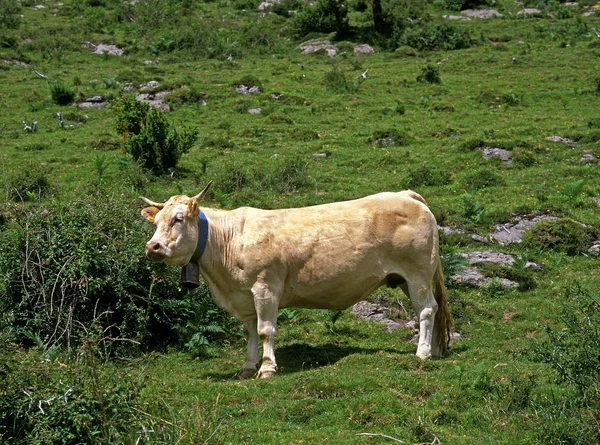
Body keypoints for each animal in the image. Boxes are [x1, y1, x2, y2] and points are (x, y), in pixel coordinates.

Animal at [141, 180, 450, 378]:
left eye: (178, 219)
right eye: (156, 222)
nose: (152, 247)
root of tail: (406, 194)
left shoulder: (265, 288)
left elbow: (266, 330)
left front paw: (267, 368)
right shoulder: (243, 296)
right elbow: (250, 332)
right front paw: (247, 367)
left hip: (418, 274)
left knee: (426, 310)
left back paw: (423, 353)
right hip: (409, 278)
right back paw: (435, 351)